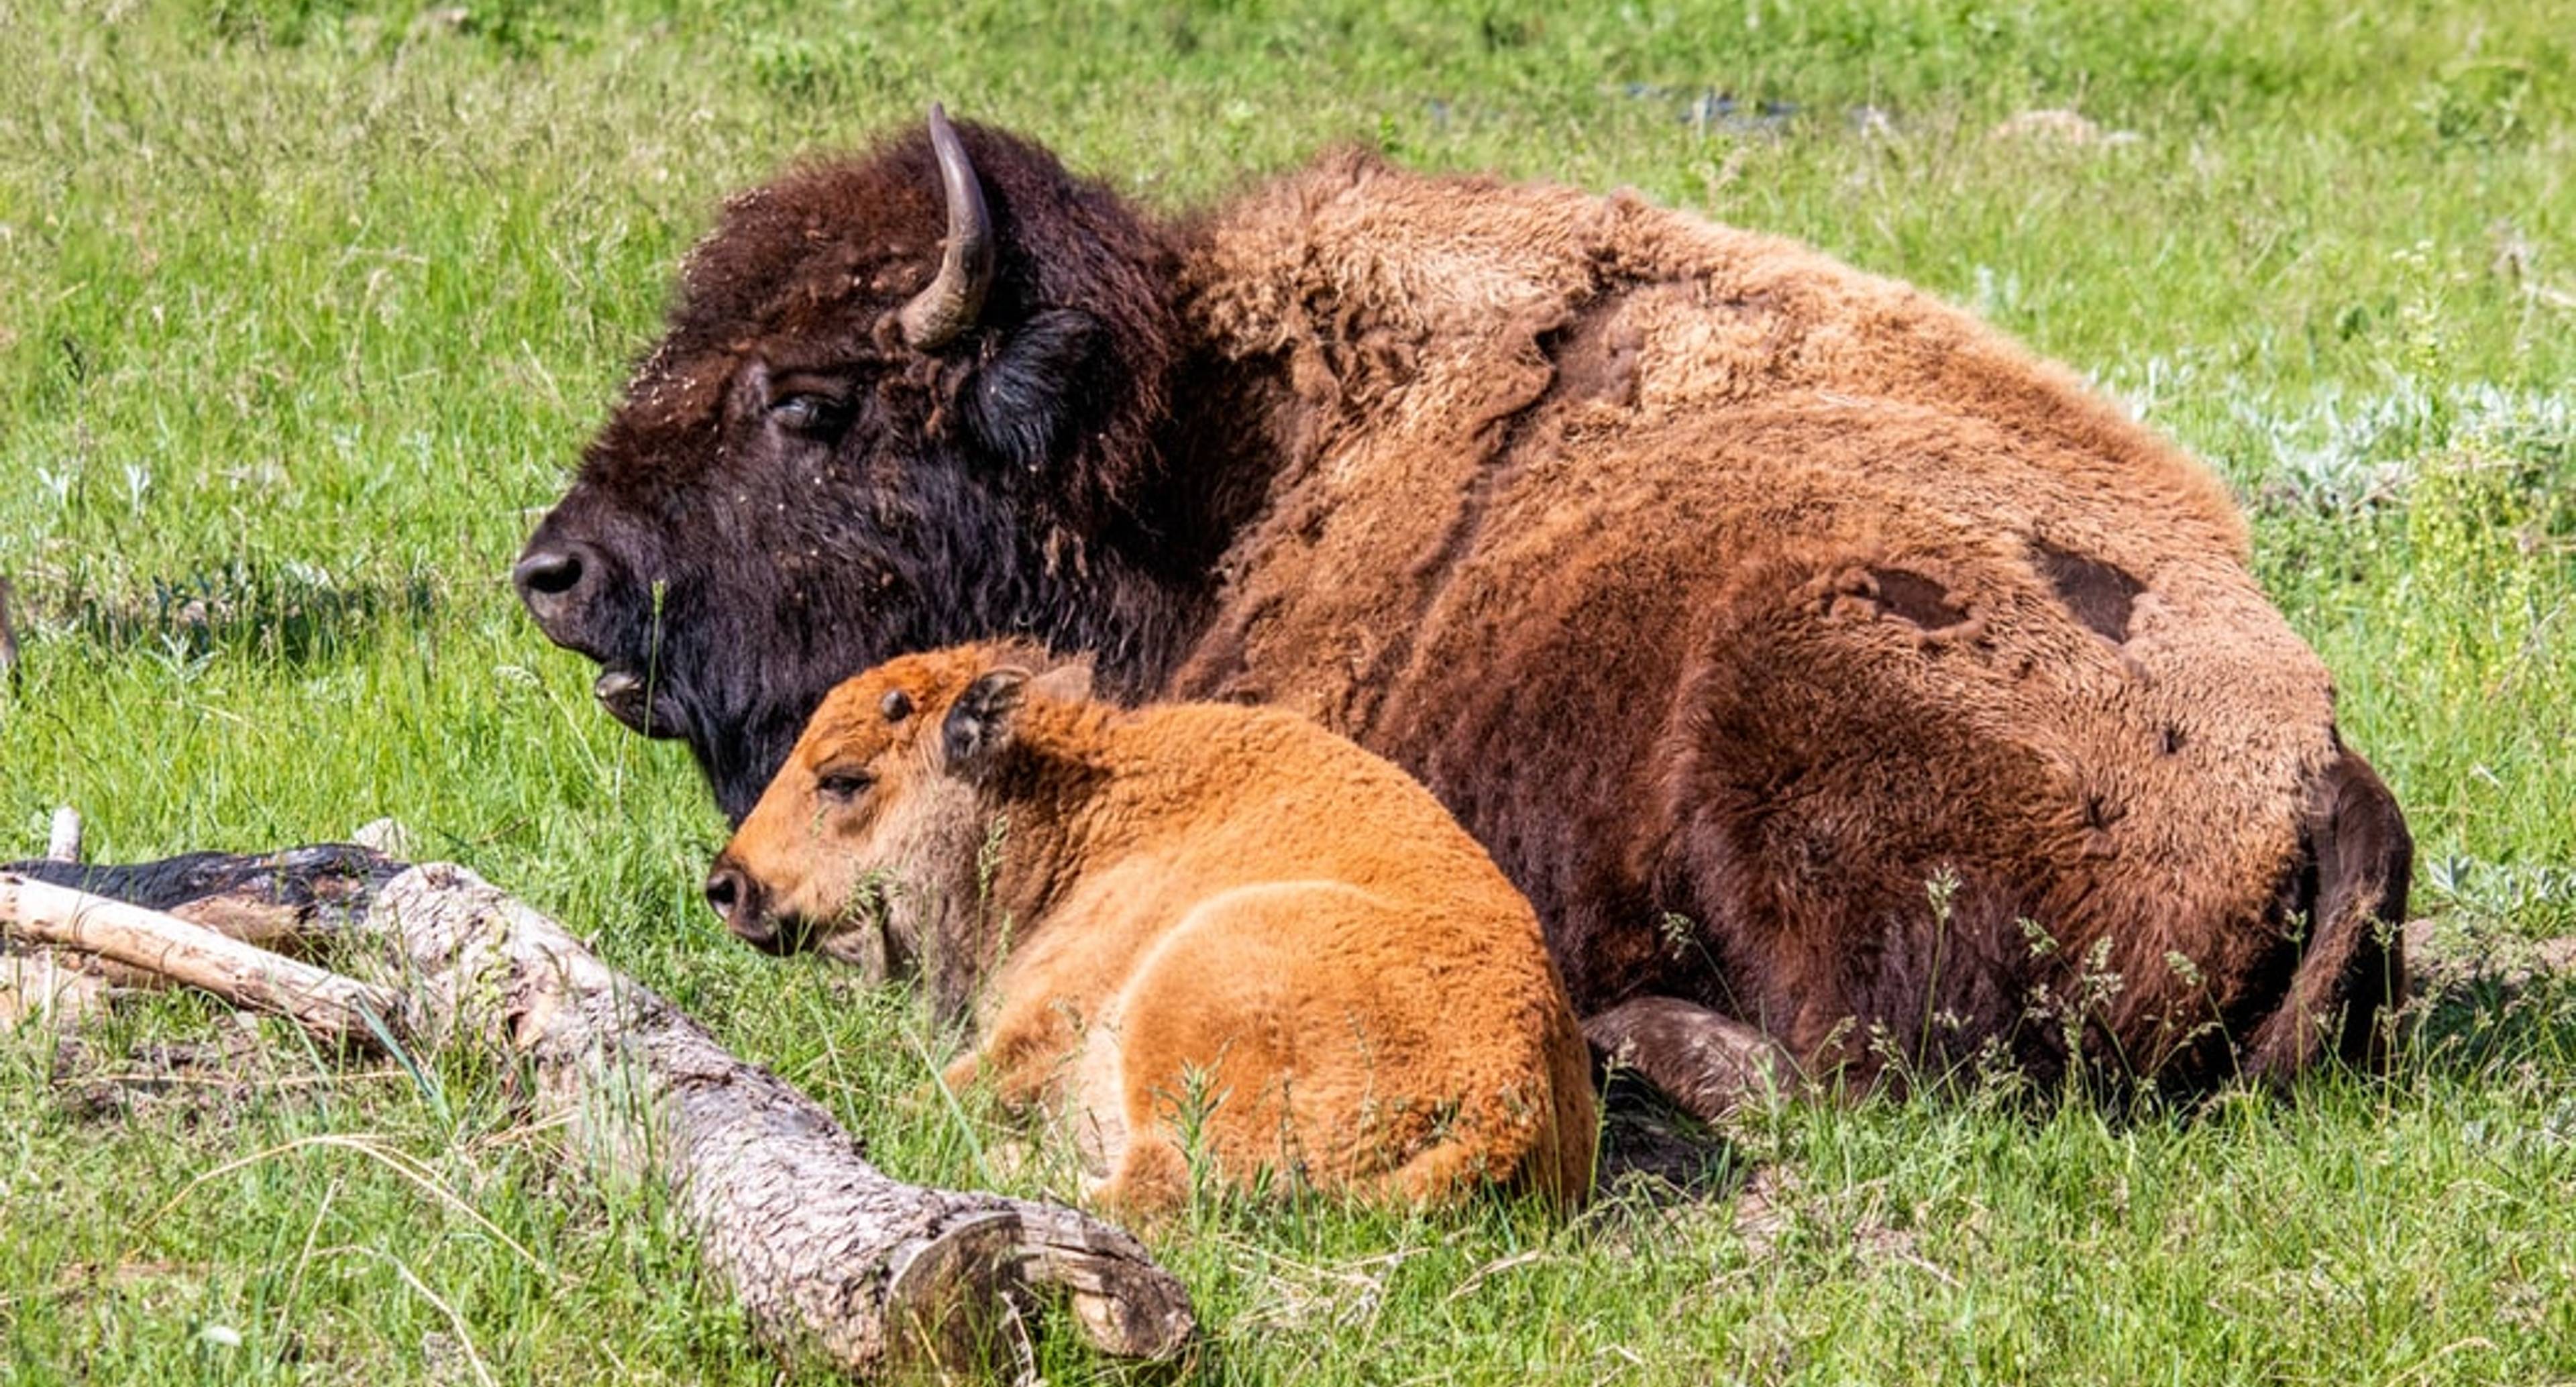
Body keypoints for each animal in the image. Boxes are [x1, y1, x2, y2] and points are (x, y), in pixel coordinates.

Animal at [513, 109, 2400, 1117]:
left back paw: (1627, 1031)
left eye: (807, 399)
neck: (1203, 465)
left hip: (1783, 720)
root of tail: (2316, 764)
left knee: (1859, 1071)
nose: (556, 572)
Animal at [706, 646, 1587, 1209]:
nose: (725, 885)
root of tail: (1503, 1098)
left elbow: (933, 1091)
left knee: (1146, 1191)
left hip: (1189, 998)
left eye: (844, 778)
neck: (1077, 810)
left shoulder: (1043, 1022)